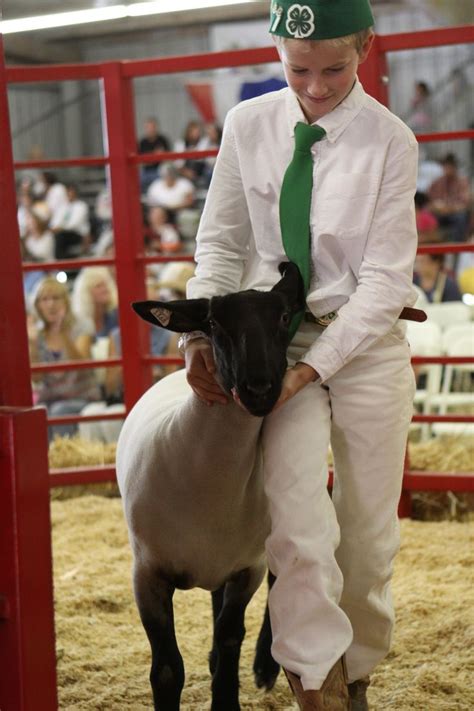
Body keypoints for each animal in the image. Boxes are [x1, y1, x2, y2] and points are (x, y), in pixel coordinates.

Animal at [116, 262, 306, 711]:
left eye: (283, 317)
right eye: (215, 324)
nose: (259, 389)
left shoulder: (248, 567)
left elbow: (231, 634)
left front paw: (228, 695)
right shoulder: (147, 573)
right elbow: (168, 668)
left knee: (275, 582)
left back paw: (265, 667)